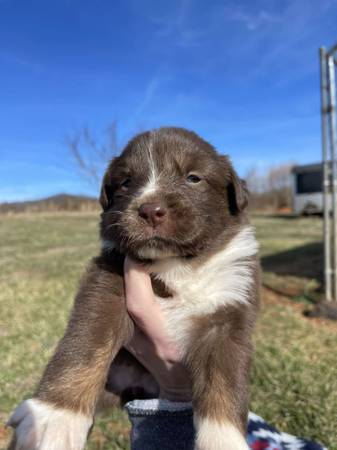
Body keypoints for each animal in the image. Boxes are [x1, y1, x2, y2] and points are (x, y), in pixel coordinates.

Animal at [7, 127, 260, 450]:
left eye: (193, 178)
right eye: (126, 182)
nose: (150, 210)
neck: (176, 264)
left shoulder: (230, 308)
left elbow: (224, 382)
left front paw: (224, 442)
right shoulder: (109, 281)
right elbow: (86, 342)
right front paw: (56, 416)